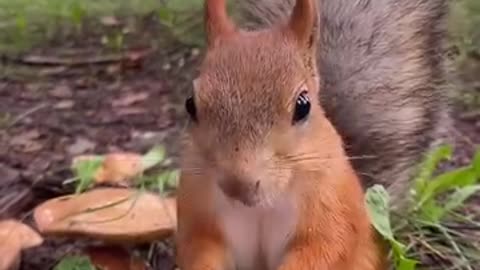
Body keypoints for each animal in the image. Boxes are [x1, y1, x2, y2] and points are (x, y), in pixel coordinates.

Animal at [176, 0, 450, 268]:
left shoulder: (330, 209)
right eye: (190, 104)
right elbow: (200, 245)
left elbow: (324, 247)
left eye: (303, 106)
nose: (238, 186)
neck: (263, 206)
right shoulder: (199, 211)